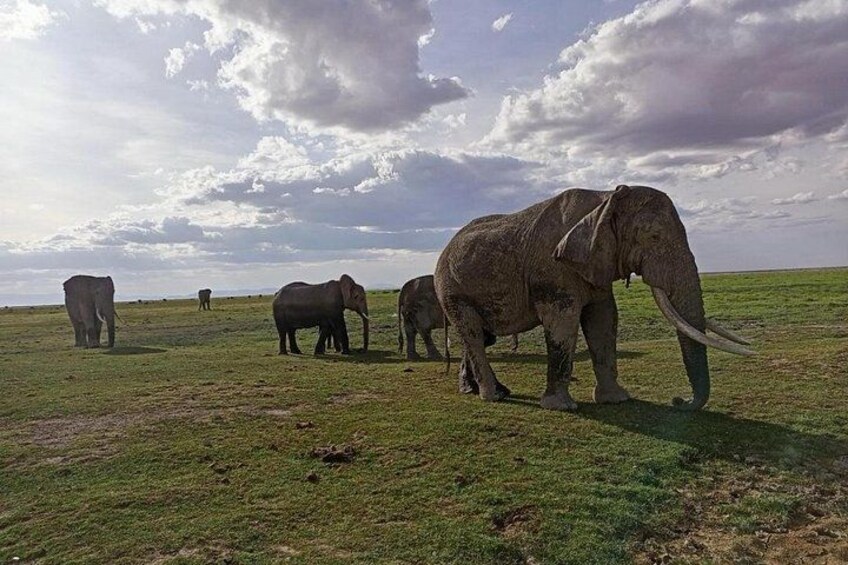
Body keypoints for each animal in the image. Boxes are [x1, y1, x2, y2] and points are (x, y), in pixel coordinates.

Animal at [434, 185, 753, 412]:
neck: (605, 197)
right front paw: (561, 408)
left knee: (478, 336)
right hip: (451, 290)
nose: (678, 400)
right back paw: (493, 397)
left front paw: (616, 400)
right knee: (474, 334)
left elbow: (603, 319)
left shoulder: (596, 262)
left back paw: (481, 391)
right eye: (653, 237)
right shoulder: (553, 269)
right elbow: (563, 322)